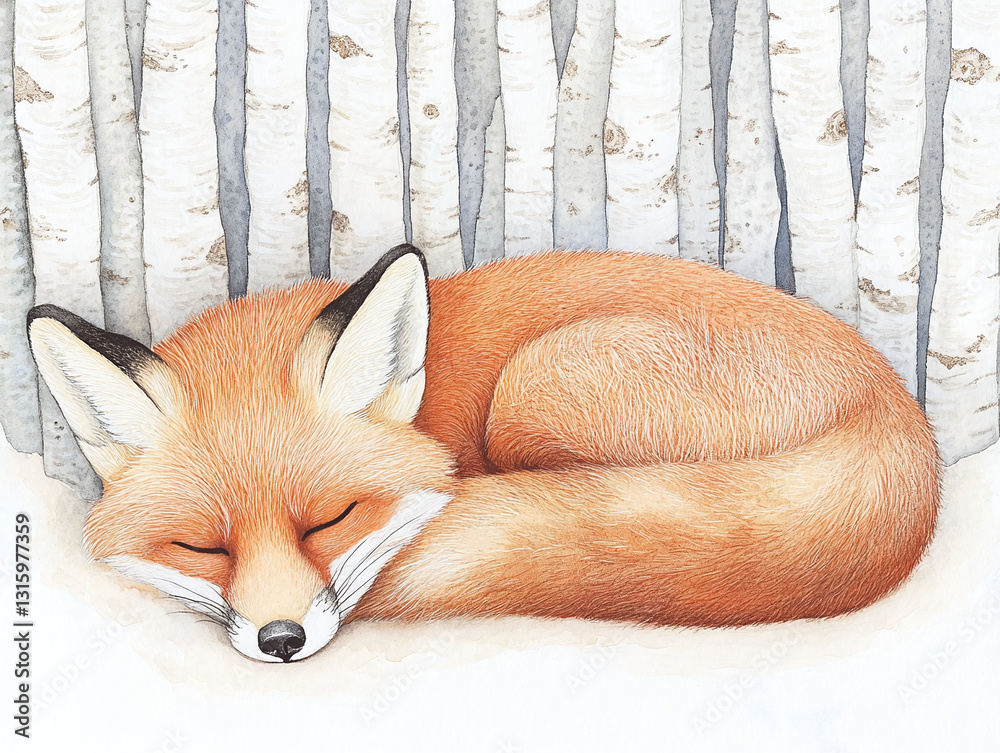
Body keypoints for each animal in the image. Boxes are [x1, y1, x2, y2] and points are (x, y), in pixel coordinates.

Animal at [26, 245, 939, 662]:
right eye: (201, 545)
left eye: (331, 518)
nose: (282, 638)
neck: (431, 404)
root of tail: (892, 404)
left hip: (540, 380)